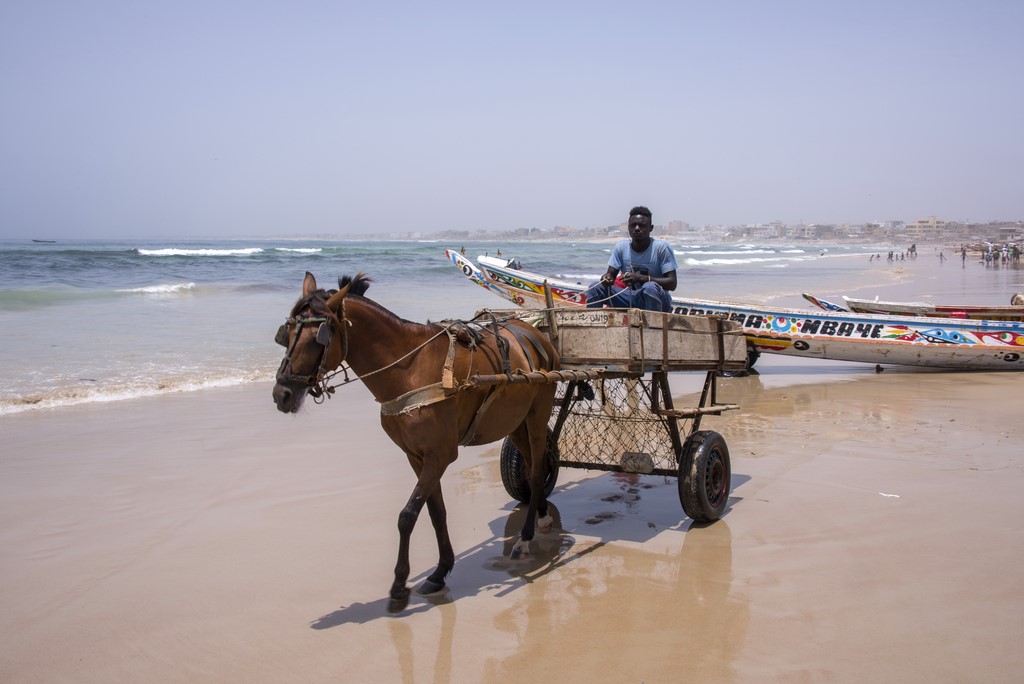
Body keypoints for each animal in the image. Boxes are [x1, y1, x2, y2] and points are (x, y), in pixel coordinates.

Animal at [272, 274, 561, 614]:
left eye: (317, 338)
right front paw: (440, 571)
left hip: (538, 413)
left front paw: (399, 586)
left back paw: (526, 536)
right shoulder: (416, 456)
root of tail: (536, 335)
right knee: (531, 462)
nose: (282, 394)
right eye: (286, 334)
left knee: (537, 467)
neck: (409, 368)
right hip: (513, 420)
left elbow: (408, 515)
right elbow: (436, 513)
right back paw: (541, 513)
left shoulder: (440, 455)